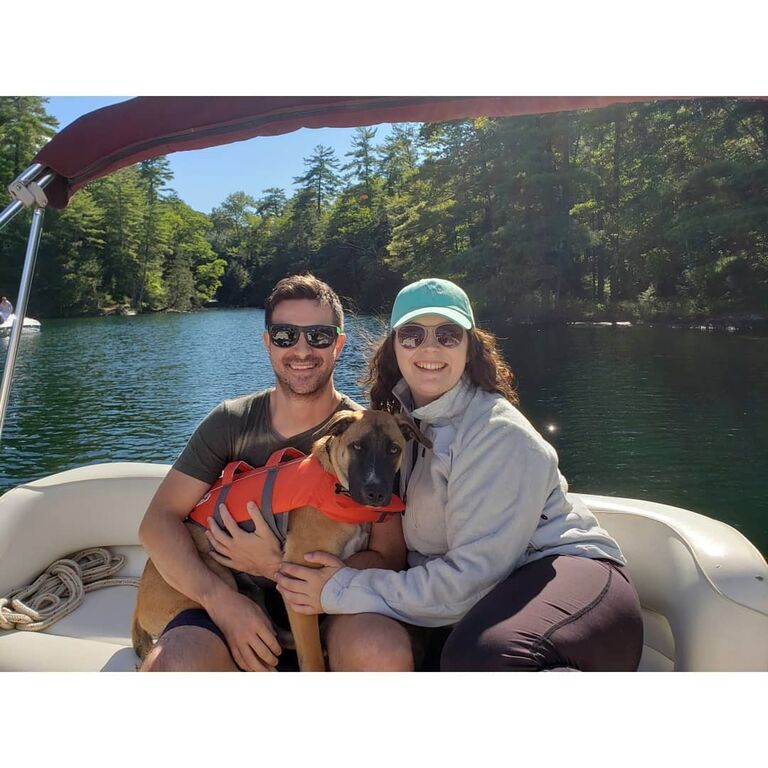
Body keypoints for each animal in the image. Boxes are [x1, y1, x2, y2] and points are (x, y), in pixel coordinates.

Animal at [132, 408, 432, 672]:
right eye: (357, 446)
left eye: (394, 449)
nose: (376, 493)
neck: (334, 486)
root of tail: (137, 606)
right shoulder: (298, 583)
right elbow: (312, 661)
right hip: (217, 580)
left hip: (252, 593)